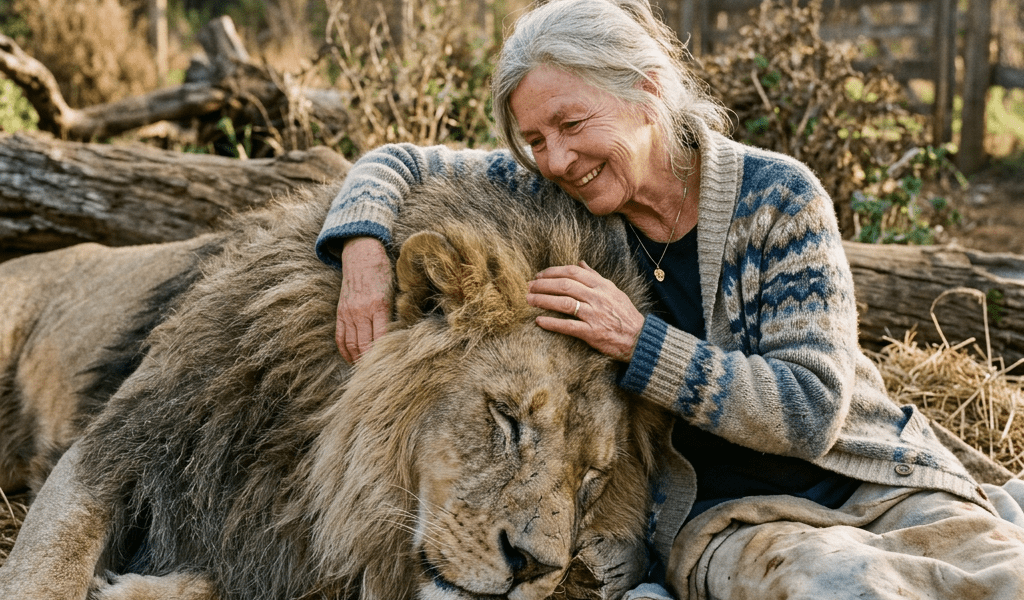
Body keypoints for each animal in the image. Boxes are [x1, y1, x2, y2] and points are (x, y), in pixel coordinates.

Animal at [0, 175, 672, 600]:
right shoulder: (113, 449)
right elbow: (48, 572)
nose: (534, 569)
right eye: (507, 419)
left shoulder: (283, 537)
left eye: (593, 479)